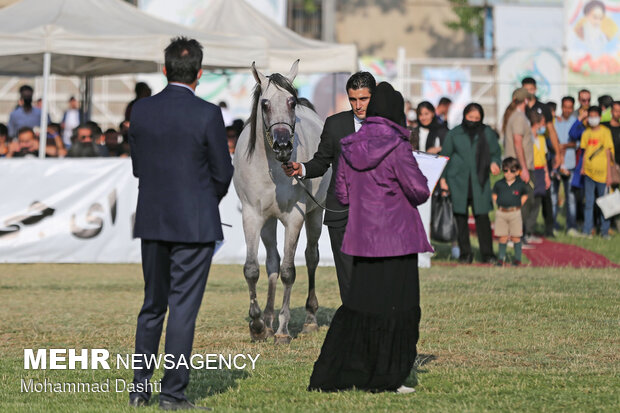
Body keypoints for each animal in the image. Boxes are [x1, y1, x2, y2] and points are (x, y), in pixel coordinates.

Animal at [232, 61, 330, 342]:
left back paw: (309, 319)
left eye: (292, 101)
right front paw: (257, 325)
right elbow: (253, 269)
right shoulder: (252, 216)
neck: (272, 170)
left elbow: (289, 271)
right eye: (264, 104)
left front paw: (283, 330)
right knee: (271, 262)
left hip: (314, 216)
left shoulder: (294, 218)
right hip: (268, 223)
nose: (283, 146)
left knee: (311, 257)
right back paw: (267, 319)